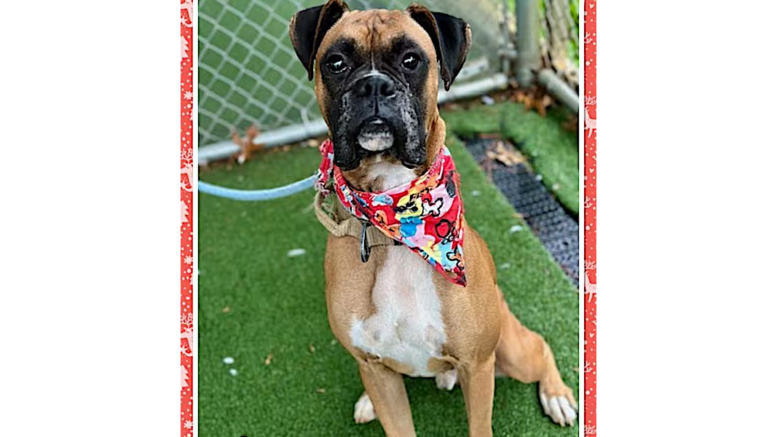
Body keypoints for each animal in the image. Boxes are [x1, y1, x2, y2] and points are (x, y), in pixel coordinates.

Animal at [288, 1, 572, 434]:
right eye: (335, 62)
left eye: (411, 60)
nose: (373, 86)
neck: (396, 225)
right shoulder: (376, 369)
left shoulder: (477, 366)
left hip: (510, 349)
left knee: (539, 346)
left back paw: (557, 396)